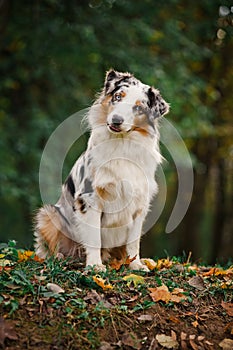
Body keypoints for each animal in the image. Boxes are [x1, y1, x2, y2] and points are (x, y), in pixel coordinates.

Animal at [34, 69, 169, 270]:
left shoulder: (140, 203)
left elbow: (133, 242)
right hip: (48, 214)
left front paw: (136, 265)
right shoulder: (90, 199)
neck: (121, 144)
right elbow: (94, 238)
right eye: (117, 96)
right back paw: (61, 257)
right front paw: (95, 266)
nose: (116, 120)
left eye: (138, 108)